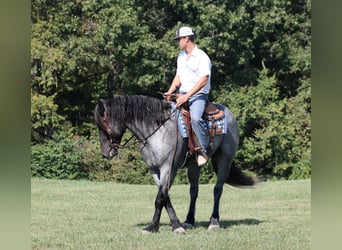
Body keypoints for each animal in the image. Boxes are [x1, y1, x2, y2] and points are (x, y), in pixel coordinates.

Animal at [94, 94, 256, 233]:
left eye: (104, 126)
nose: (105, 153)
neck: (158, 131)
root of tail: (228, 113)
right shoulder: (154, 169)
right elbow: (165, 196)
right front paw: (176, 224)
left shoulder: (169, 168)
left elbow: (160, 198)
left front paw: (153, 226)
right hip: (194, 165)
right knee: (194, 191)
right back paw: (189, 220)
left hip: (224, 160)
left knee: (217, 190)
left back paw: (214, 222)